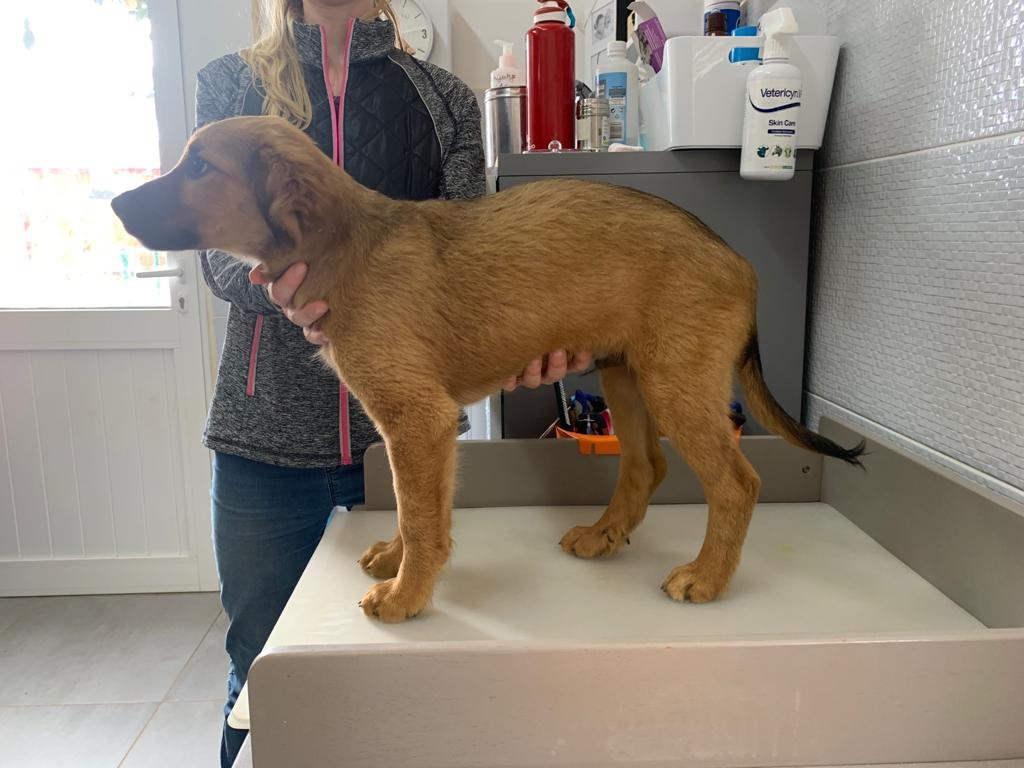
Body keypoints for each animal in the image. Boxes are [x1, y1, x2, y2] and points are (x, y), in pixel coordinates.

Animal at [112, 116, 863, 623]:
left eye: (201, 167)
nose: (115, 205)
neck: (346, 243)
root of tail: (739, 262)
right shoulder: (426, 427)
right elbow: (422, 507)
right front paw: (402, 563)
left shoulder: (418, 418)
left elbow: (422, 516)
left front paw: (406, 595)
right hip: (627, 373)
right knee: (645, 466)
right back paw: (603, 534)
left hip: (677, 380)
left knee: (737, 482)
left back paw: (707, 577)